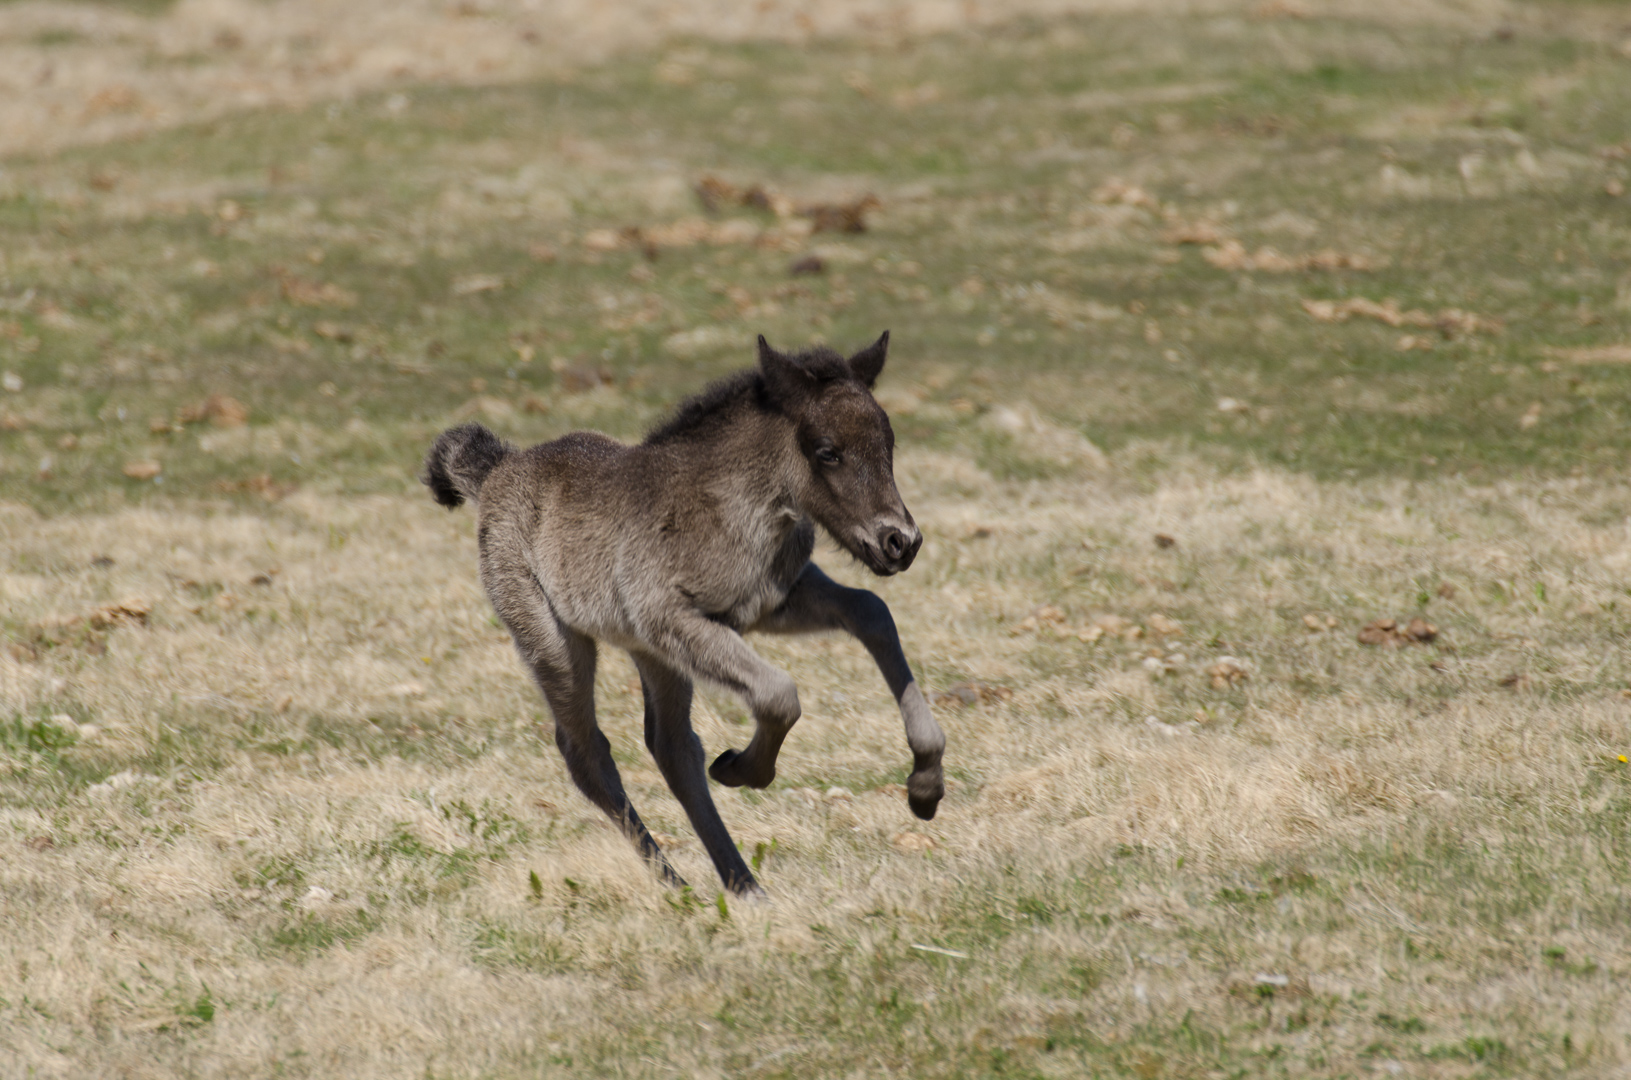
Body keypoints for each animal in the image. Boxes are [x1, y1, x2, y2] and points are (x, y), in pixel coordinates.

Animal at [424, 332, 945, 894]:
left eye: (889, 445)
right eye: (827, 451)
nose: (900, 542)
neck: (732, 511)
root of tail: (499, 467)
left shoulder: (773, 602)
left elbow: (872, 612)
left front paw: (925, 785)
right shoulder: (674, 620)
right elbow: (779, 694)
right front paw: (743, 769)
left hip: (651, 653)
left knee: (671, 746)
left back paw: (742, 884)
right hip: (553, 640)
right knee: (588, 754)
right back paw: (675, 883)